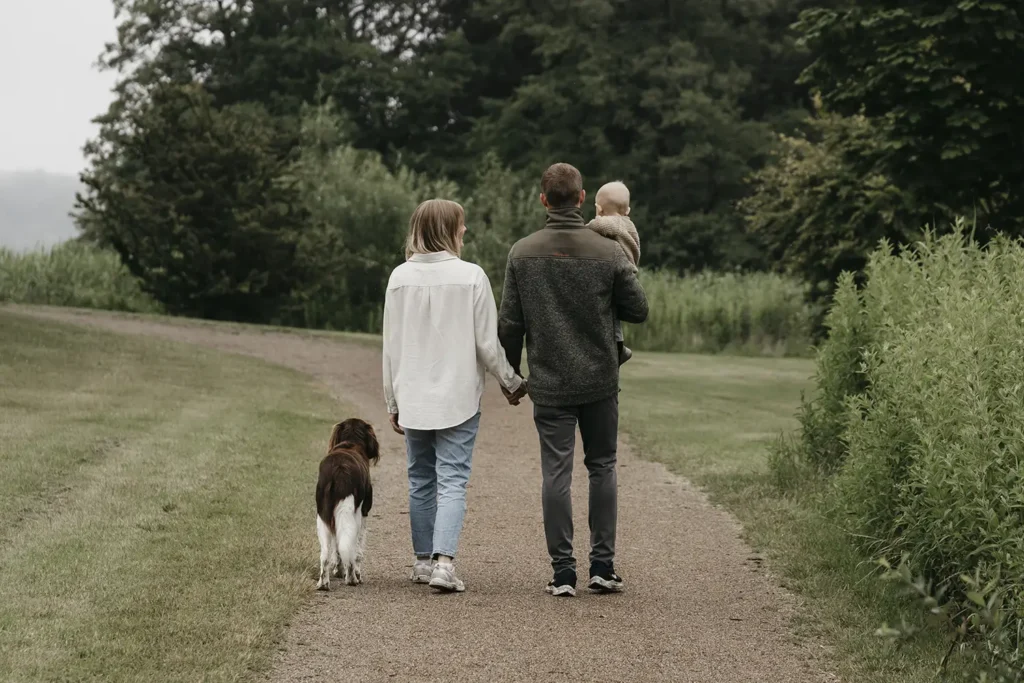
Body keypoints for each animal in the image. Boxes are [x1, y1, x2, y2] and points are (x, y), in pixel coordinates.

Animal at [315, 419, 380, 589]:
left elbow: (336, 549)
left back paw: (323, 583)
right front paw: (354, 573)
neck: (351, 442)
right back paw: (352, 578)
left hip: (323, 516)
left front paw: (338, 570)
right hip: (351, 513)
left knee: (325, 554)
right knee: (350, 548)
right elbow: (357, 551)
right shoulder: (364, 512)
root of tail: (339, 470)